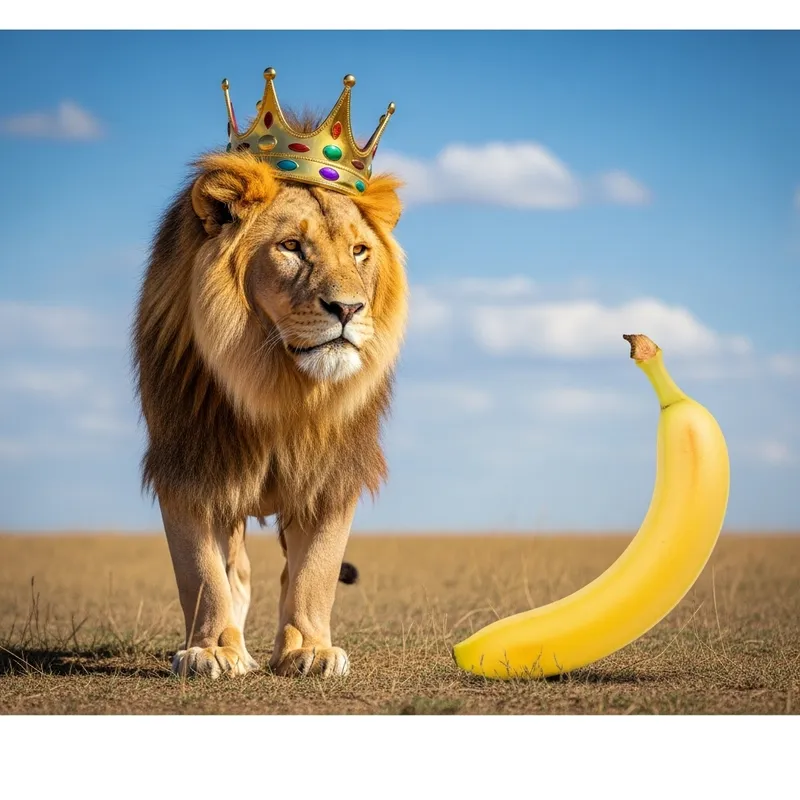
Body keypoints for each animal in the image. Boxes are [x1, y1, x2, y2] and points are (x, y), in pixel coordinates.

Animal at [132, 139, 407, 679]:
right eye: (292, 247)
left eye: (359, 251)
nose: (348, 309)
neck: (280, 387)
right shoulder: (189, 466)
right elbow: (201, 571)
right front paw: (212, 650)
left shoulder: (331, 472)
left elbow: (317, 569)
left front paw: (311, 650)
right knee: (233, 568)